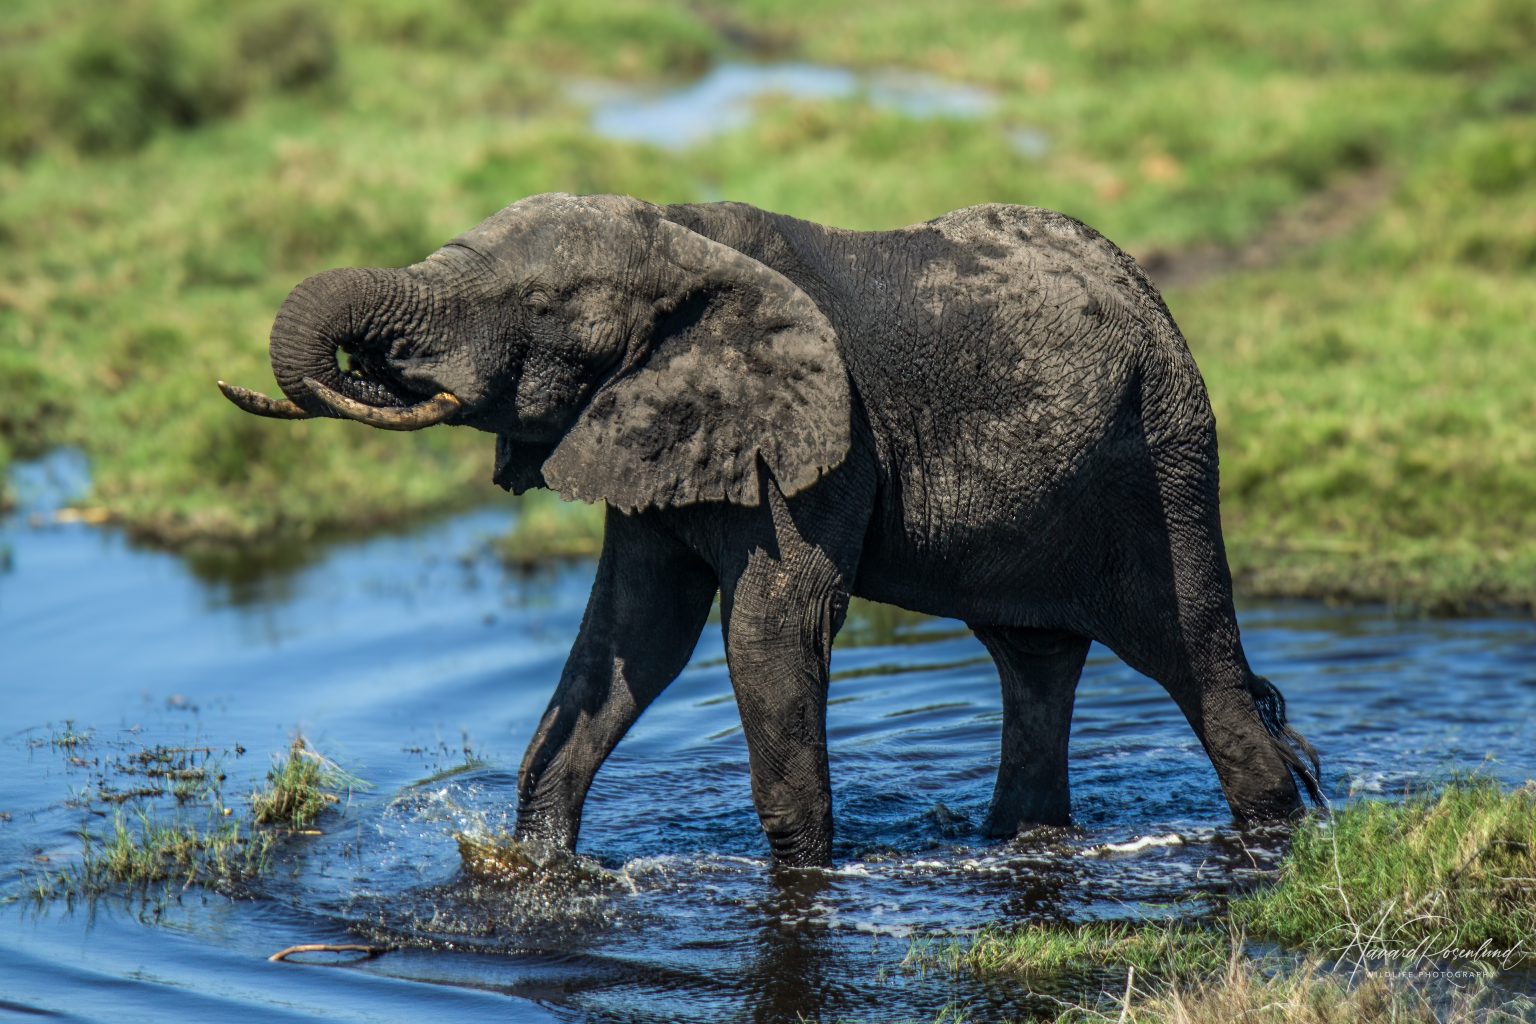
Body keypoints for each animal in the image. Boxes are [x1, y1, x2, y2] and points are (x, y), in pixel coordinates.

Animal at [219, 192, 1322, 867]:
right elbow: (633, 638)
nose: (235, 388)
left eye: (538, 306)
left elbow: (768, 631)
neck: (678, 236)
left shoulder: (824, 446)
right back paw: (1020, 835)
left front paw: (800, 879)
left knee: (1194, 657)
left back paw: (1273, 827)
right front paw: (527, 864)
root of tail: (1150, 296)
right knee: (1036, 660)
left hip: (1166, 456)